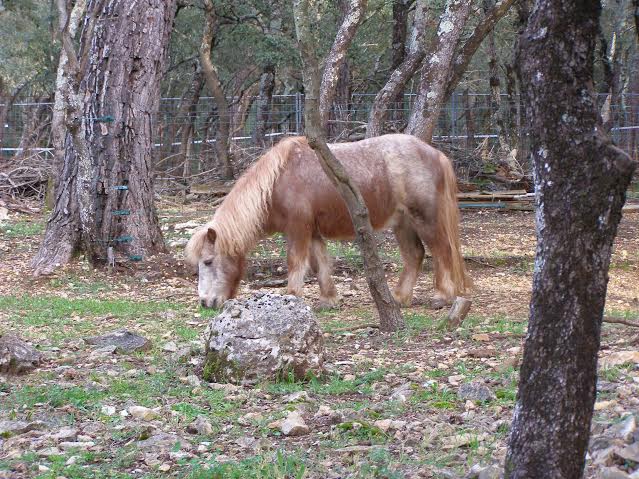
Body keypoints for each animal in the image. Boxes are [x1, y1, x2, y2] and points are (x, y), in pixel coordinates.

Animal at [185, 133, 470, 310]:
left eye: (208, 261)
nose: (205, 302)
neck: (278, 181)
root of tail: (435, 154)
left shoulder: (298, 229)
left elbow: (296, 263)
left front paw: (292, 297)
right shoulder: (312, 232)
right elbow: (319, 264)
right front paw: (329, 299)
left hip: (424, 219)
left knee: (442, 251)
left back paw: (442, 296)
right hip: (403, 223)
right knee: (415, 255)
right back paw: (400, 298)